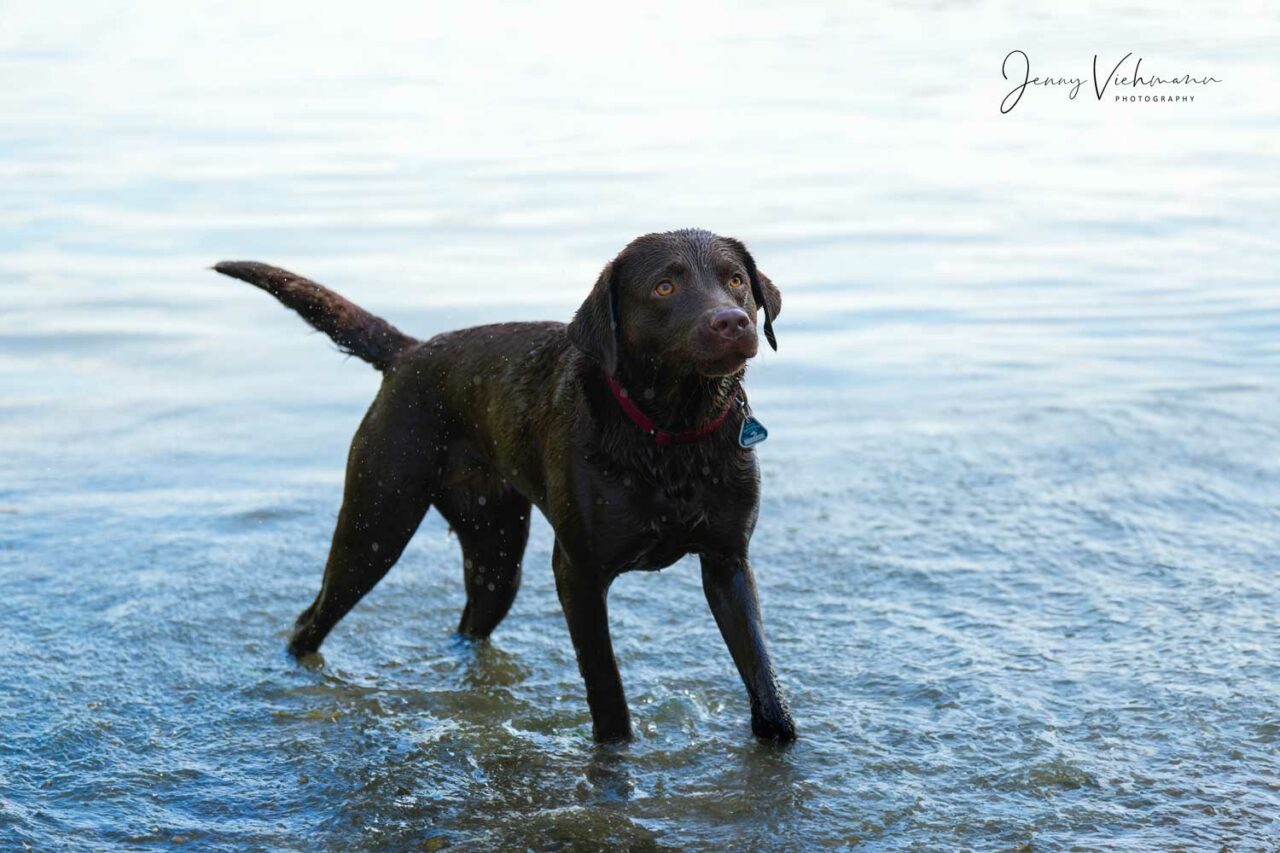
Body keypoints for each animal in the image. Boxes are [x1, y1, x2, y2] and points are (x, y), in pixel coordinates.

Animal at [216, 225, 793, 737]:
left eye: (735, 280)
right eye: (664, 287)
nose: (732, 321)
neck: (673, 435)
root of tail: (409, 352)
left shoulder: (727, 562)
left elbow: (762, 676)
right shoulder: (578, 574)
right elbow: (607, 691)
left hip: (495, 551)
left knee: (471, 621)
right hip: (376, 523)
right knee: (310, 620)